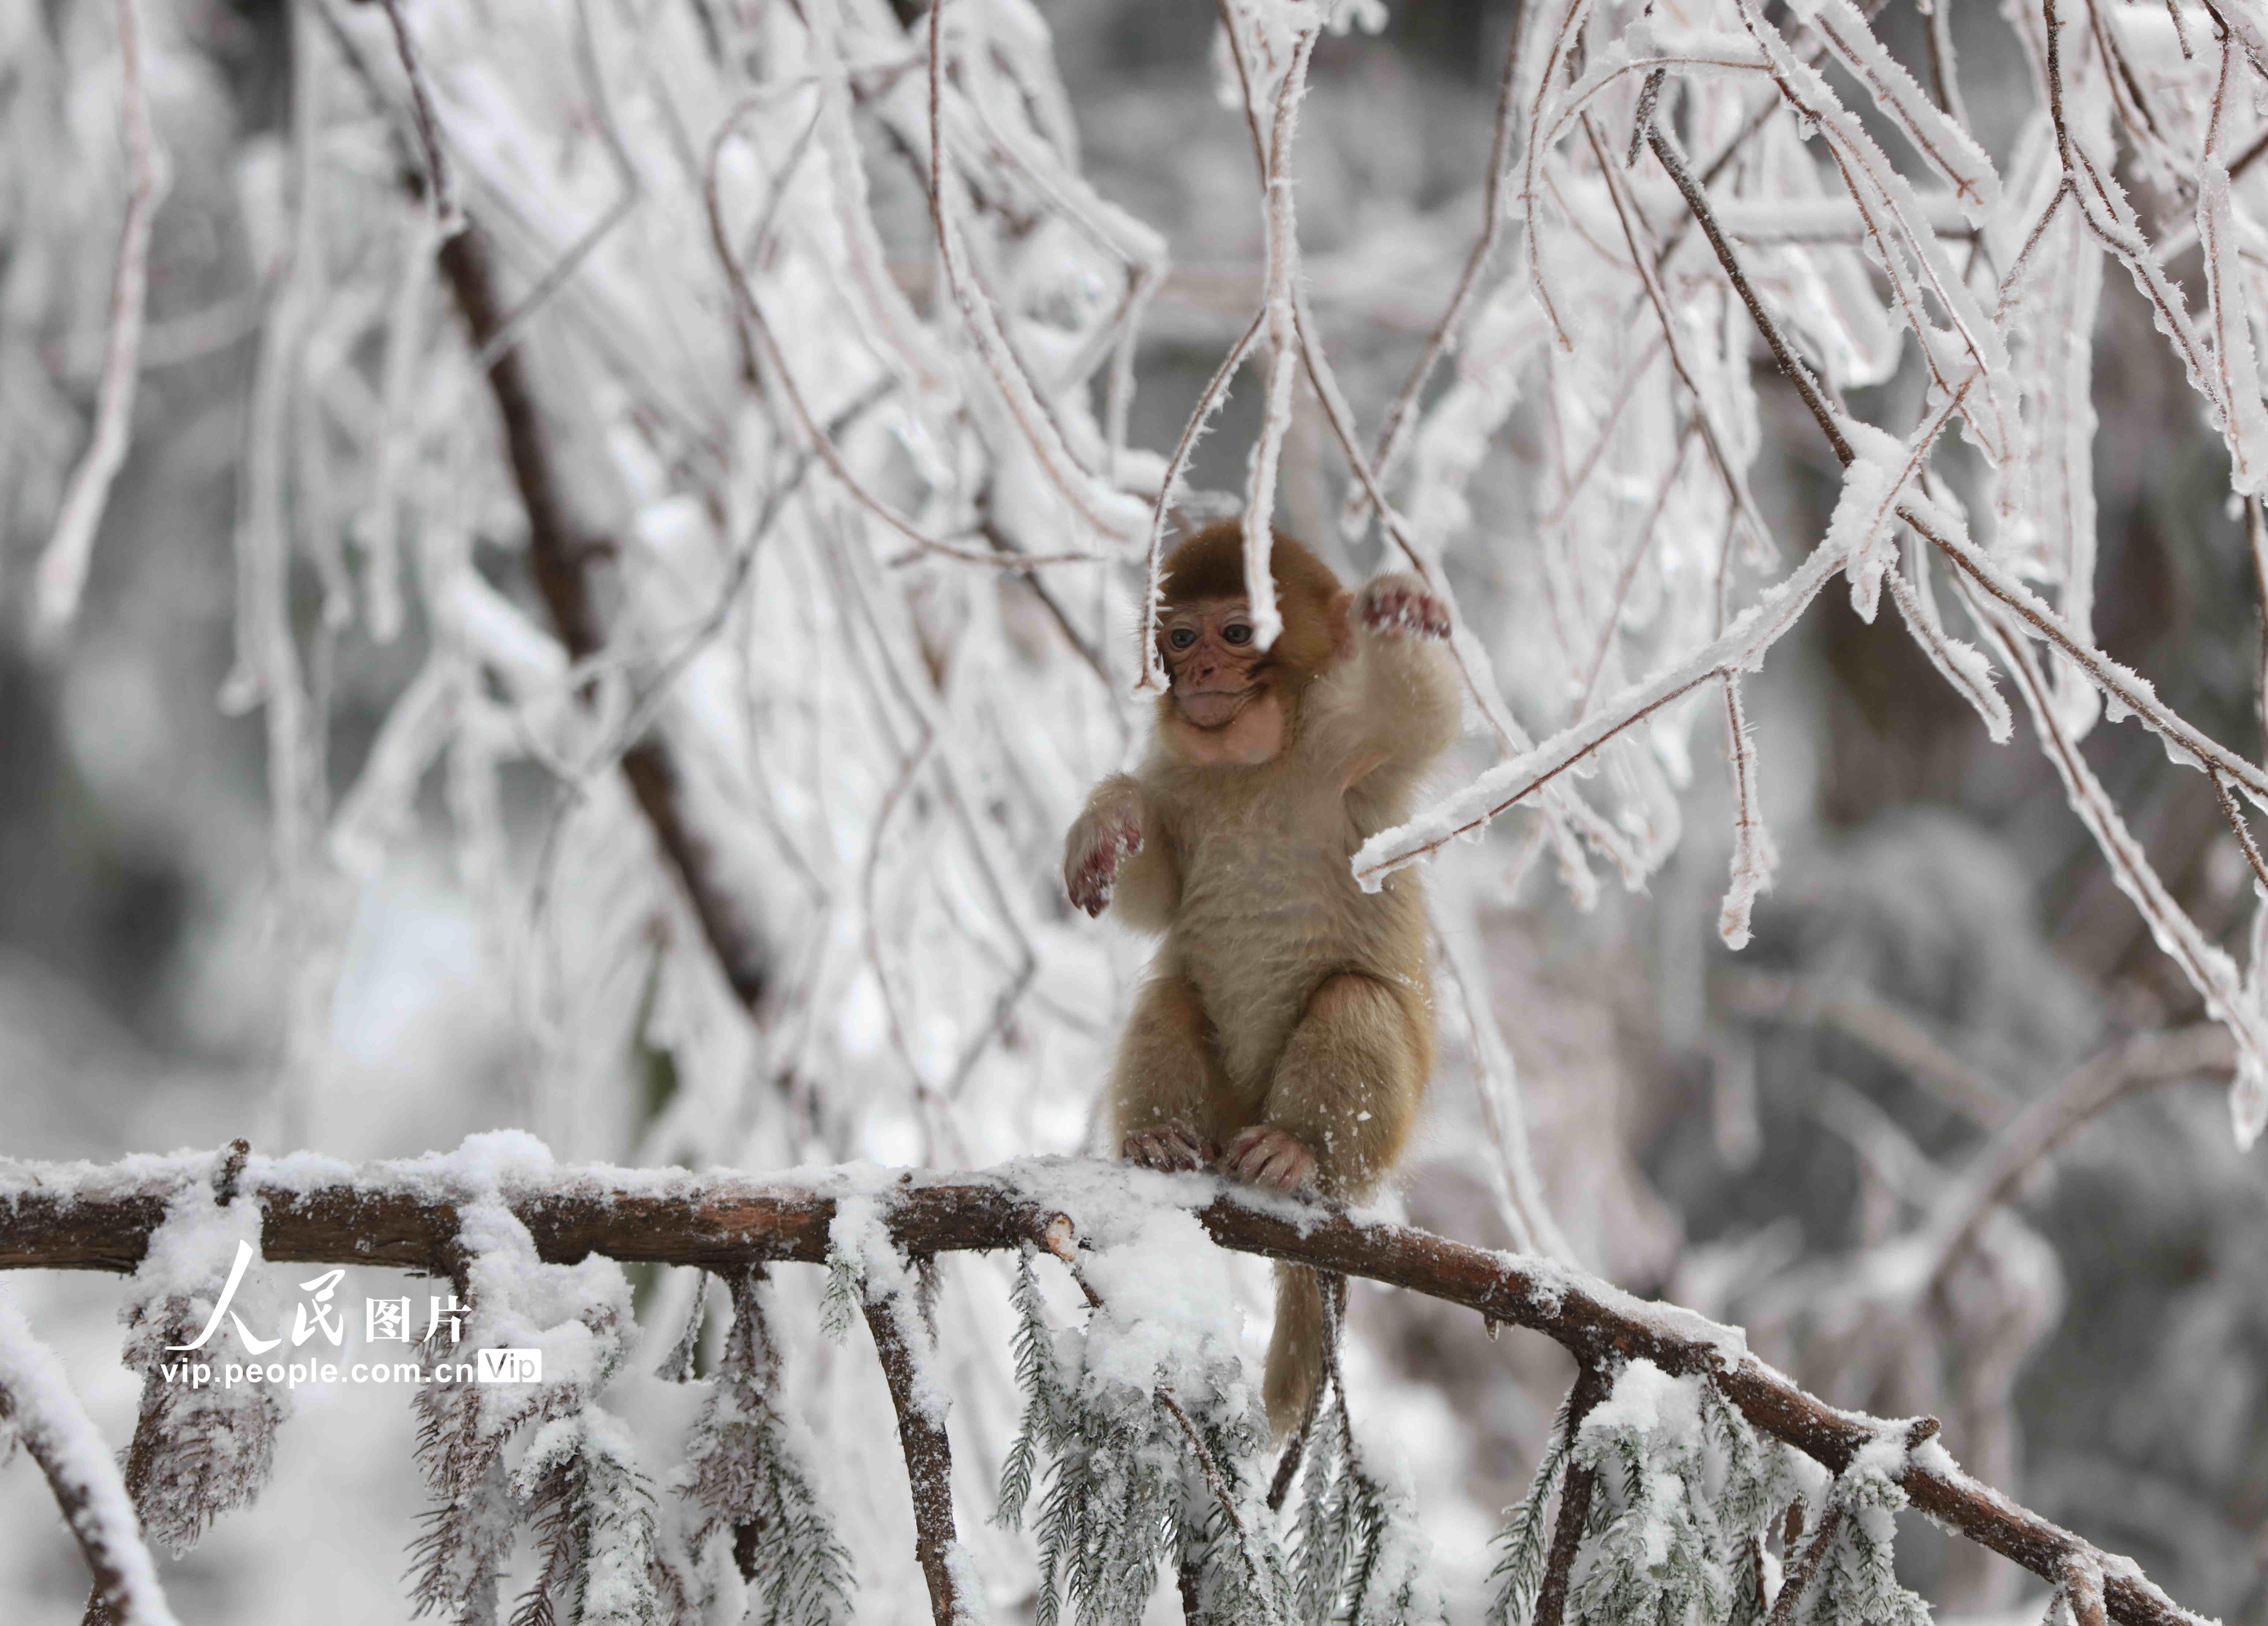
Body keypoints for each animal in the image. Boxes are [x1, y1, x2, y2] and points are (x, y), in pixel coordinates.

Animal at [1066, 524, 1460, 1433]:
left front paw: (1398, 607)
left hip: (1373, 1146)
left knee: (1354, 999)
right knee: (1171, 993)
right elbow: (1155, 893)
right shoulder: (1175, 779)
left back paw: (1297, 1151)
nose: (1202, 672)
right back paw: (1158, 1139)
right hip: (1222, 1109)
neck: (1252, 762)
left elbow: (1420, 713)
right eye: (1181, 637)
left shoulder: (1351, 749)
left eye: (1236, 633)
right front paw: (1107, 821)